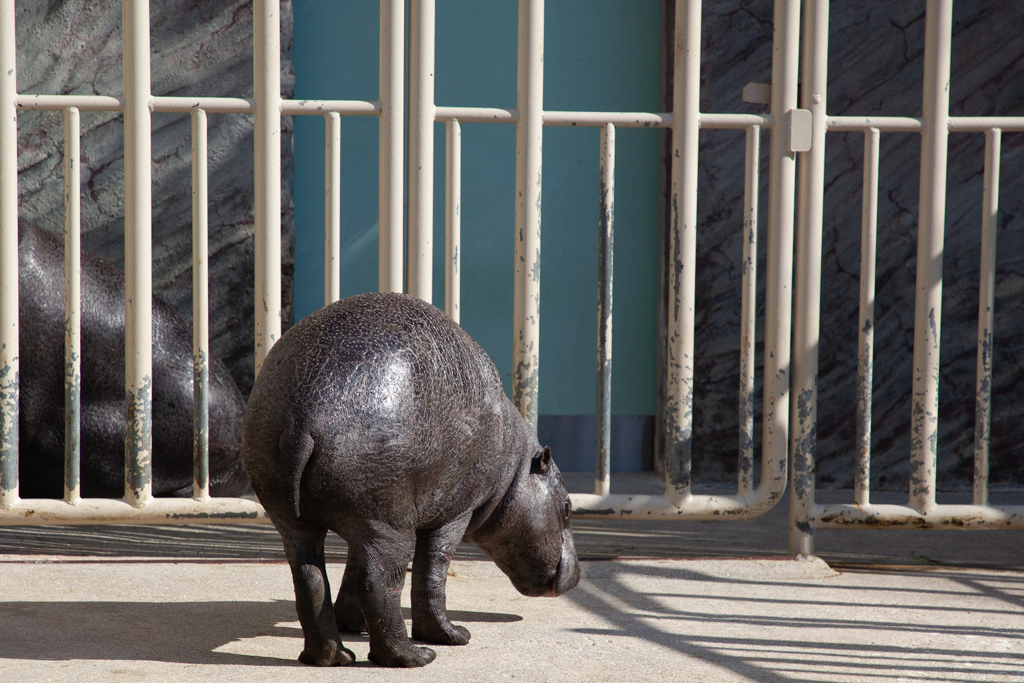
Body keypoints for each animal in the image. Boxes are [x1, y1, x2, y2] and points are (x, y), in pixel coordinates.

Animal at [238, 292, 577, 667]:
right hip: (387, 519)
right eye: (568, 507)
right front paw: (454, 636)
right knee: (380, 583)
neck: (513, 467)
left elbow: (351, 568)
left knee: (309, 578)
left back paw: (333, 657)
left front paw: (352, 624)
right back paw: (414, 656)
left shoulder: (366, 523)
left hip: (306, 517)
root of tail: (301, 421)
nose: (577, 576)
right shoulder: (455, 512)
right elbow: (433, 570)